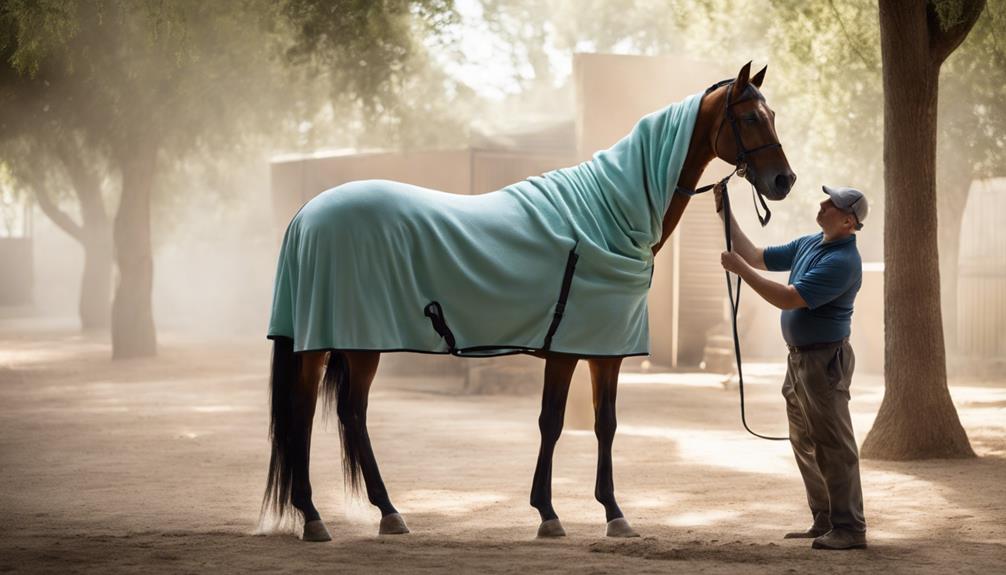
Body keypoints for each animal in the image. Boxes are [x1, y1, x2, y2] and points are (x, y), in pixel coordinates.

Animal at [263, 60, 796, 542]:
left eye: (773, 114)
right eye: (751, 117)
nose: (784, 181)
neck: (603, 216)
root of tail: (306, 215)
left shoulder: (597, 352)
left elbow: (598, 424)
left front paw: (595, 513)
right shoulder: (579, 350)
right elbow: (561, 423)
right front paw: (566, 514)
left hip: (357, 347)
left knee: (350, 416)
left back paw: (387, 513)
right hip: (329, 346)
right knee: (305, 416)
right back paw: (314, 518)